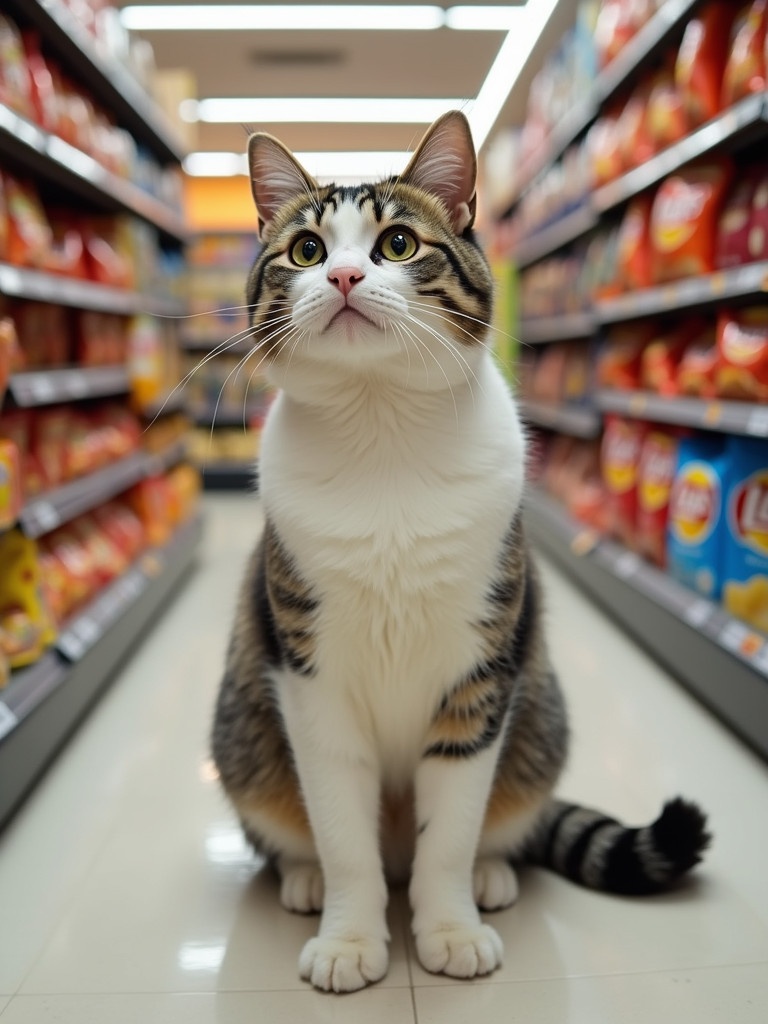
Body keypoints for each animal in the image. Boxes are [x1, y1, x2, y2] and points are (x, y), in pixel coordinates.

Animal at [208, 112, 708, 991]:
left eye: (398, 243)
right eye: (305, 250)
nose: (343, 275)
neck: (381, 424)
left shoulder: (483, 668)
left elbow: (450, 828)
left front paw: (448, 926)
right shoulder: (310, 673)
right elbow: (341, 829)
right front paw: (350, 937)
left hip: (538, 711)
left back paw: (489, 873)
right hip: (242, 727)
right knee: (297, 830)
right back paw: (304, 880)